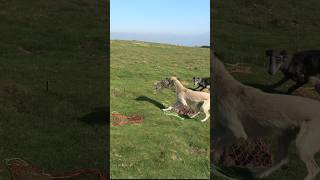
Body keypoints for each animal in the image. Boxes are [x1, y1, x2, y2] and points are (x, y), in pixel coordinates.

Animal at [212, 51, 320, 180]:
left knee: (314, 170)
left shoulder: (237, 132)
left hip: (302, 146)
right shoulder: (220, 127)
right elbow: (214, 141)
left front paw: (214, 161)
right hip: (284, 137)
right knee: (283, 160)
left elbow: (218, 145)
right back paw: (260, 175)